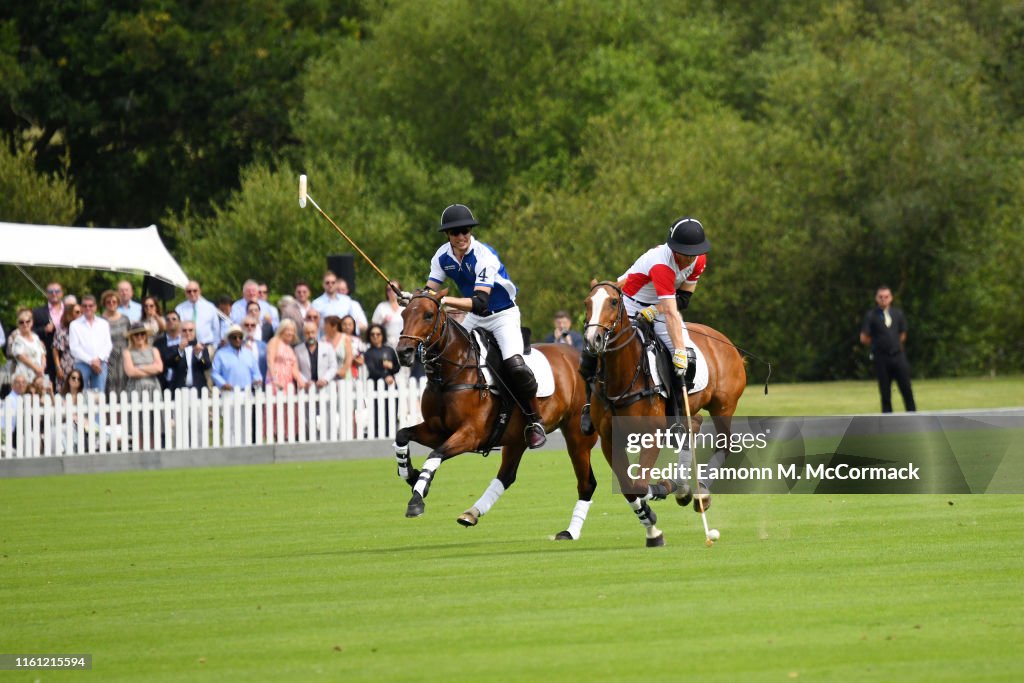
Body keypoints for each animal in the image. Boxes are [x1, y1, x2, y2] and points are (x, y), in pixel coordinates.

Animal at [391, 288, 598, 540]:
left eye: (429, 315)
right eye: (404, 313)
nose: (404, 352)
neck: (453, 372)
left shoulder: (471, 434)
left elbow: (435, 455)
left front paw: (417, 498)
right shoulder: (437, 430)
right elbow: (402, 435)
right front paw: (410, 474)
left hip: (578, 434)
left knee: (587, 482)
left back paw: (570, 532)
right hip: (517, 437)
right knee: (506, 475)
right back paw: (471, 513)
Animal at [585, 280, 745, 548]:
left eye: (613, 302)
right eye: (587, 302)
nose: (592, 340)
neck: (623, 377)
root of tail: (725, 341)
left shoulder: (652, 435)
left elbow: (640, 485)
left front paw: (664, 488)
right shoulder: (609, 439)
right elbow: (629, 488)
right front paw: (653, 531)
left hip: (724, 406)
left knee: (725, 443)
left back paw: (699, 492)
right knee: (693, 426)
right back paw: (684, 487)